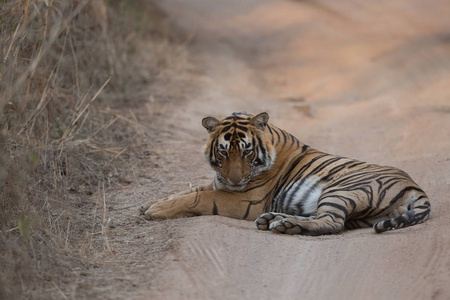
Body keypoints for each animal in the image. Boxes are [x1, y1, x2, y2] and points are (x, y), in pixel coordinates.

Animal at [139, 111, 430, 236]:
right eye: (223, 152)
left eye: (246, 152)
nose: (234, 179)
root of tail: (415, 186)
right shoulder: (220, 183)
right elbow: (188, 190)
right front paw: (147, 204)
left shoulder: (245, 199)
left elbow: (197, 197)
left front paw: (156, 211)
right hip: (360, 212)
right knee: (330, 219)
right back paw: (276, 220)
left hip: (343, 189)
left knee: (332, 222)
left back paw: (285, 225)